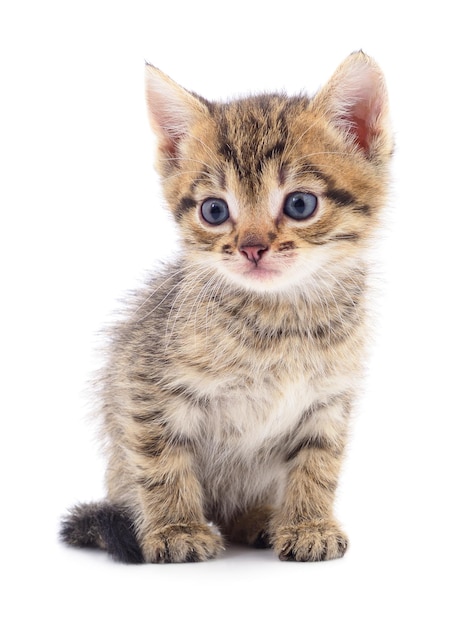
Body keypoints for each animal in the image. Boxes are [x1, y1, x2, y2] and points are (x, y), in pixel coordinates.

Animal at [60, 52, 392, 560]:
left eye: (300, 204)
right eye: (214, 211)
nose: (252, 248)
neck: (282, 317)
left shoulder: (328, 399)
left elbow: (318, 463)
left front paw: (308, 524)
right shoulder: (145, 383)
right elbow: (161, 460)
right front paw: (176, 529)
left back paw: (258, 519)